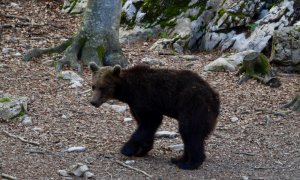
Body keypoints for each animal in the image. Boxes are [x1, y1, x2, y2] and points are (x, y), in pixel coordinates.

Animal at [88, 63, 219, 170]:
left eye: (103, 87)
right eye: (93, 86)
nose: (93, 102)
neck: (128, 91)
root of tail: (214, 96)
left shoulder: (146, 98)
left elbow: (150, 121)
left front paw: (127, 149)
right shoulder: (136, 105)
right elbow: (144, 125)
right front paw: (142, 149)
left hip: (193, 104)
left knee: (190, 131)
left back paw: (189, 163)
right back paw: (179, 159)